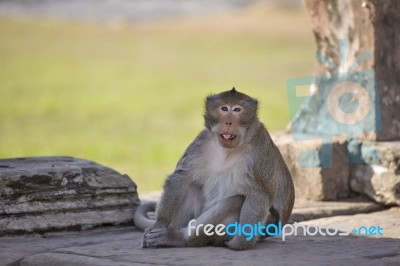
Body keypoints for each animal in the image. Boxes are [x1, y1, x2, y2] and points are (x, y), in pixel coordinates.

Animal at [134, 88, 294, 250]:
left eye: (237, 110)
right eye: (224, 108)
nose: (228, 121)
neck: (227, 151)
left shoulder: (259, 151)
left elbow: (258, 194)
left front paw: (239, 243)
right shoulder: (201, 142)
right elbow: (181, 177)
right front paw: (160, 223)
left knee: (236, 201)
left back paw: (178, 238)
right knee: (192, 186)